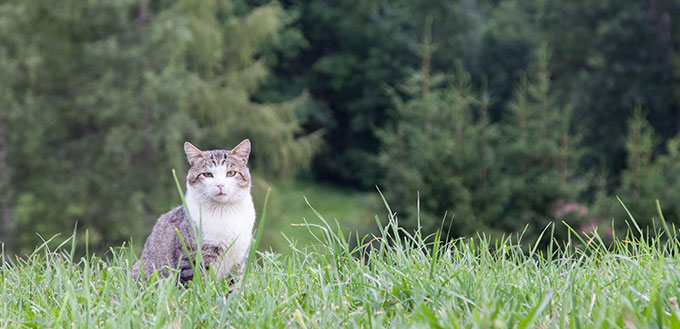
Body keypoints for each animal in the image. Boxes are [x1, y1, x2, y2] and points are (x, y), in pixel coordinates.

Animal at [130, 138, 255, 284]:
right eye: (207, 174)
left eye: (231, 173)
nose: (220, 185)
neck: (223, 210)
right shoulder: (191, 257)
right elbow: (197, 284)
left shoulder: (238, 259)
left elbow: (232, 285)